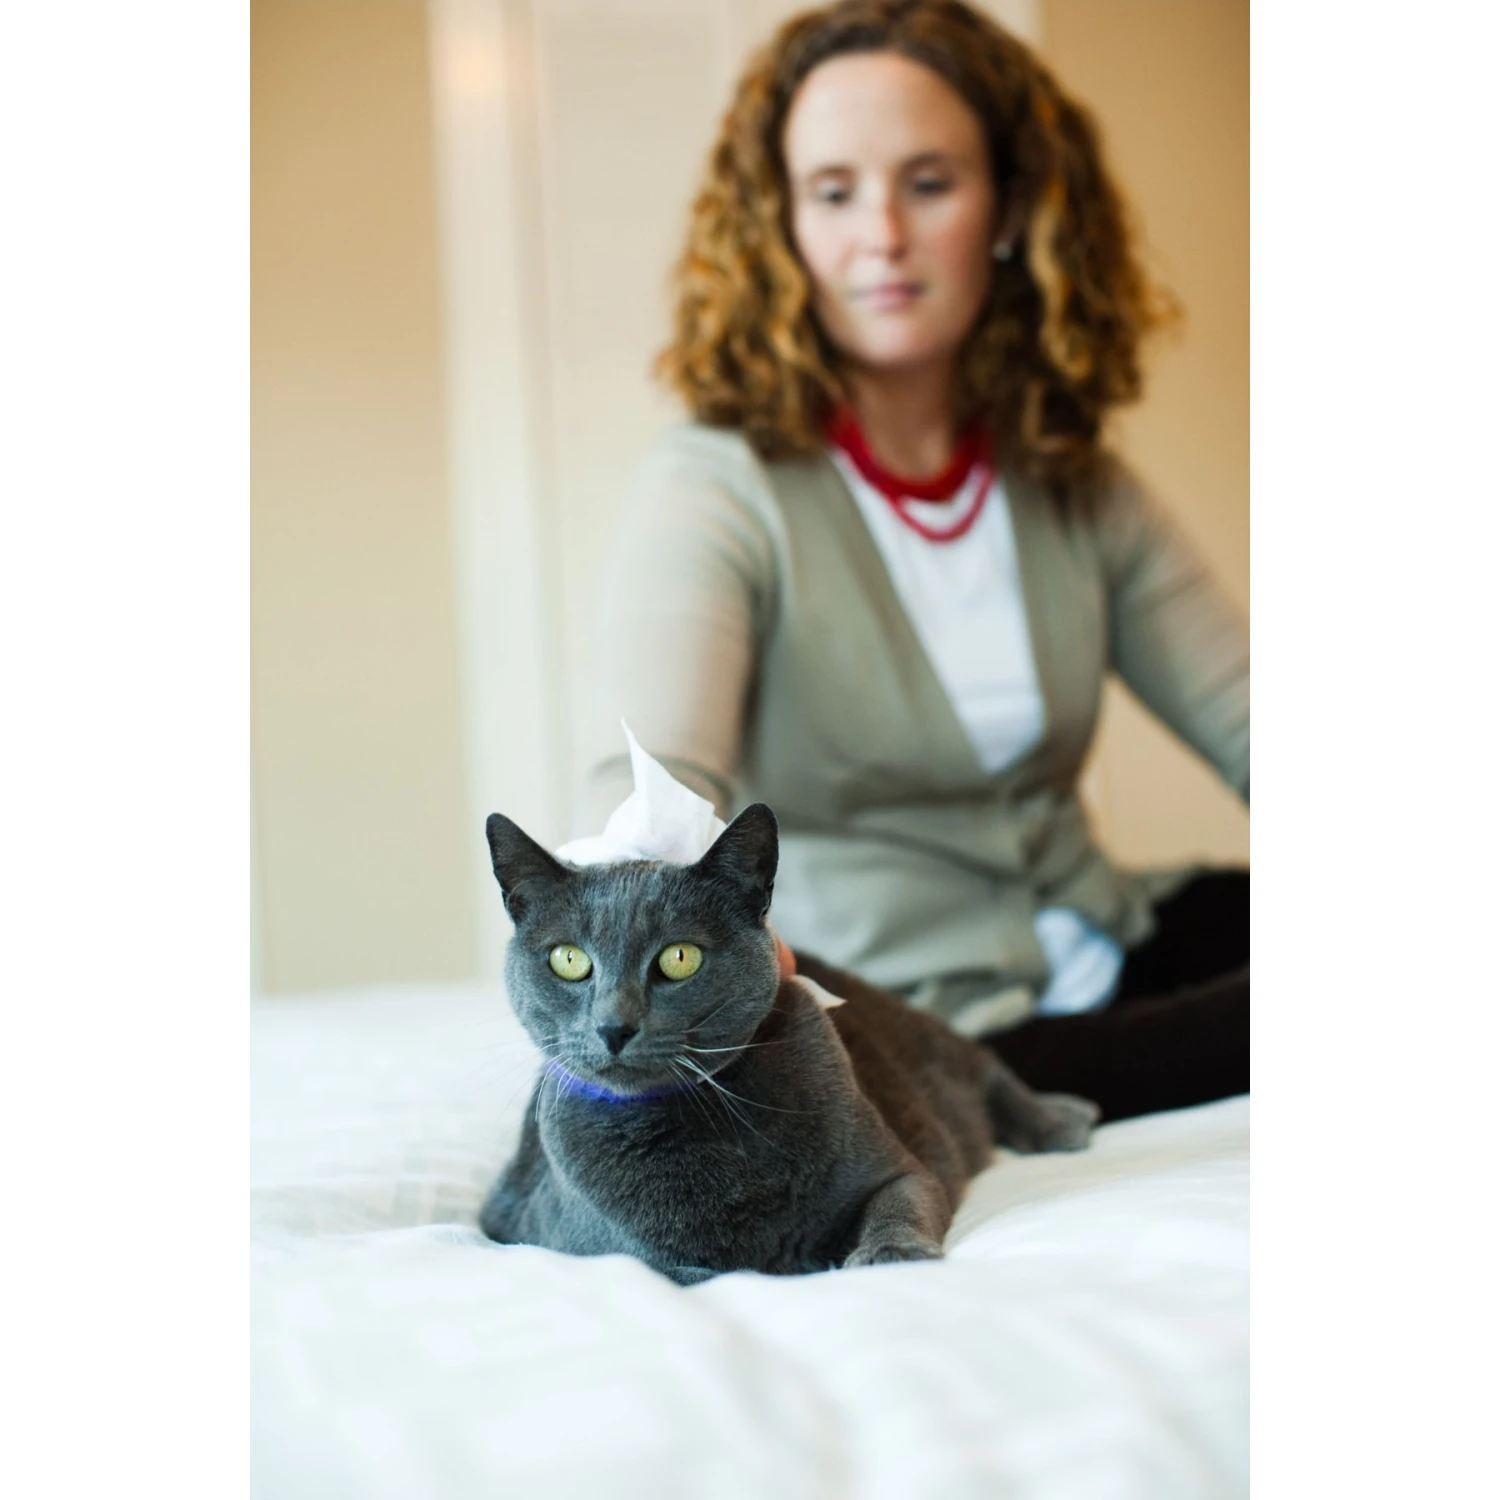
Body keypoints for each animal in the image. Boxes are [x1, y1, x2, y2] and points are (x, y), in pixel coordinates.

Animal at [479, 802, 1099, 1284]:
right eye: (568, 959)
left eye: (679, 958)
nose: (614, 1025)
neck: (699, 1115)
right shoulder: (583, 1247)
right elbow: (691, 1272)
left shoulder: (900, 1171)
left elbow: (899, 1203)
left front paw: (889, 1255)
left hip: (925, 1043)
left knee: (985, 1069)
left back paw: (1062, 1122)